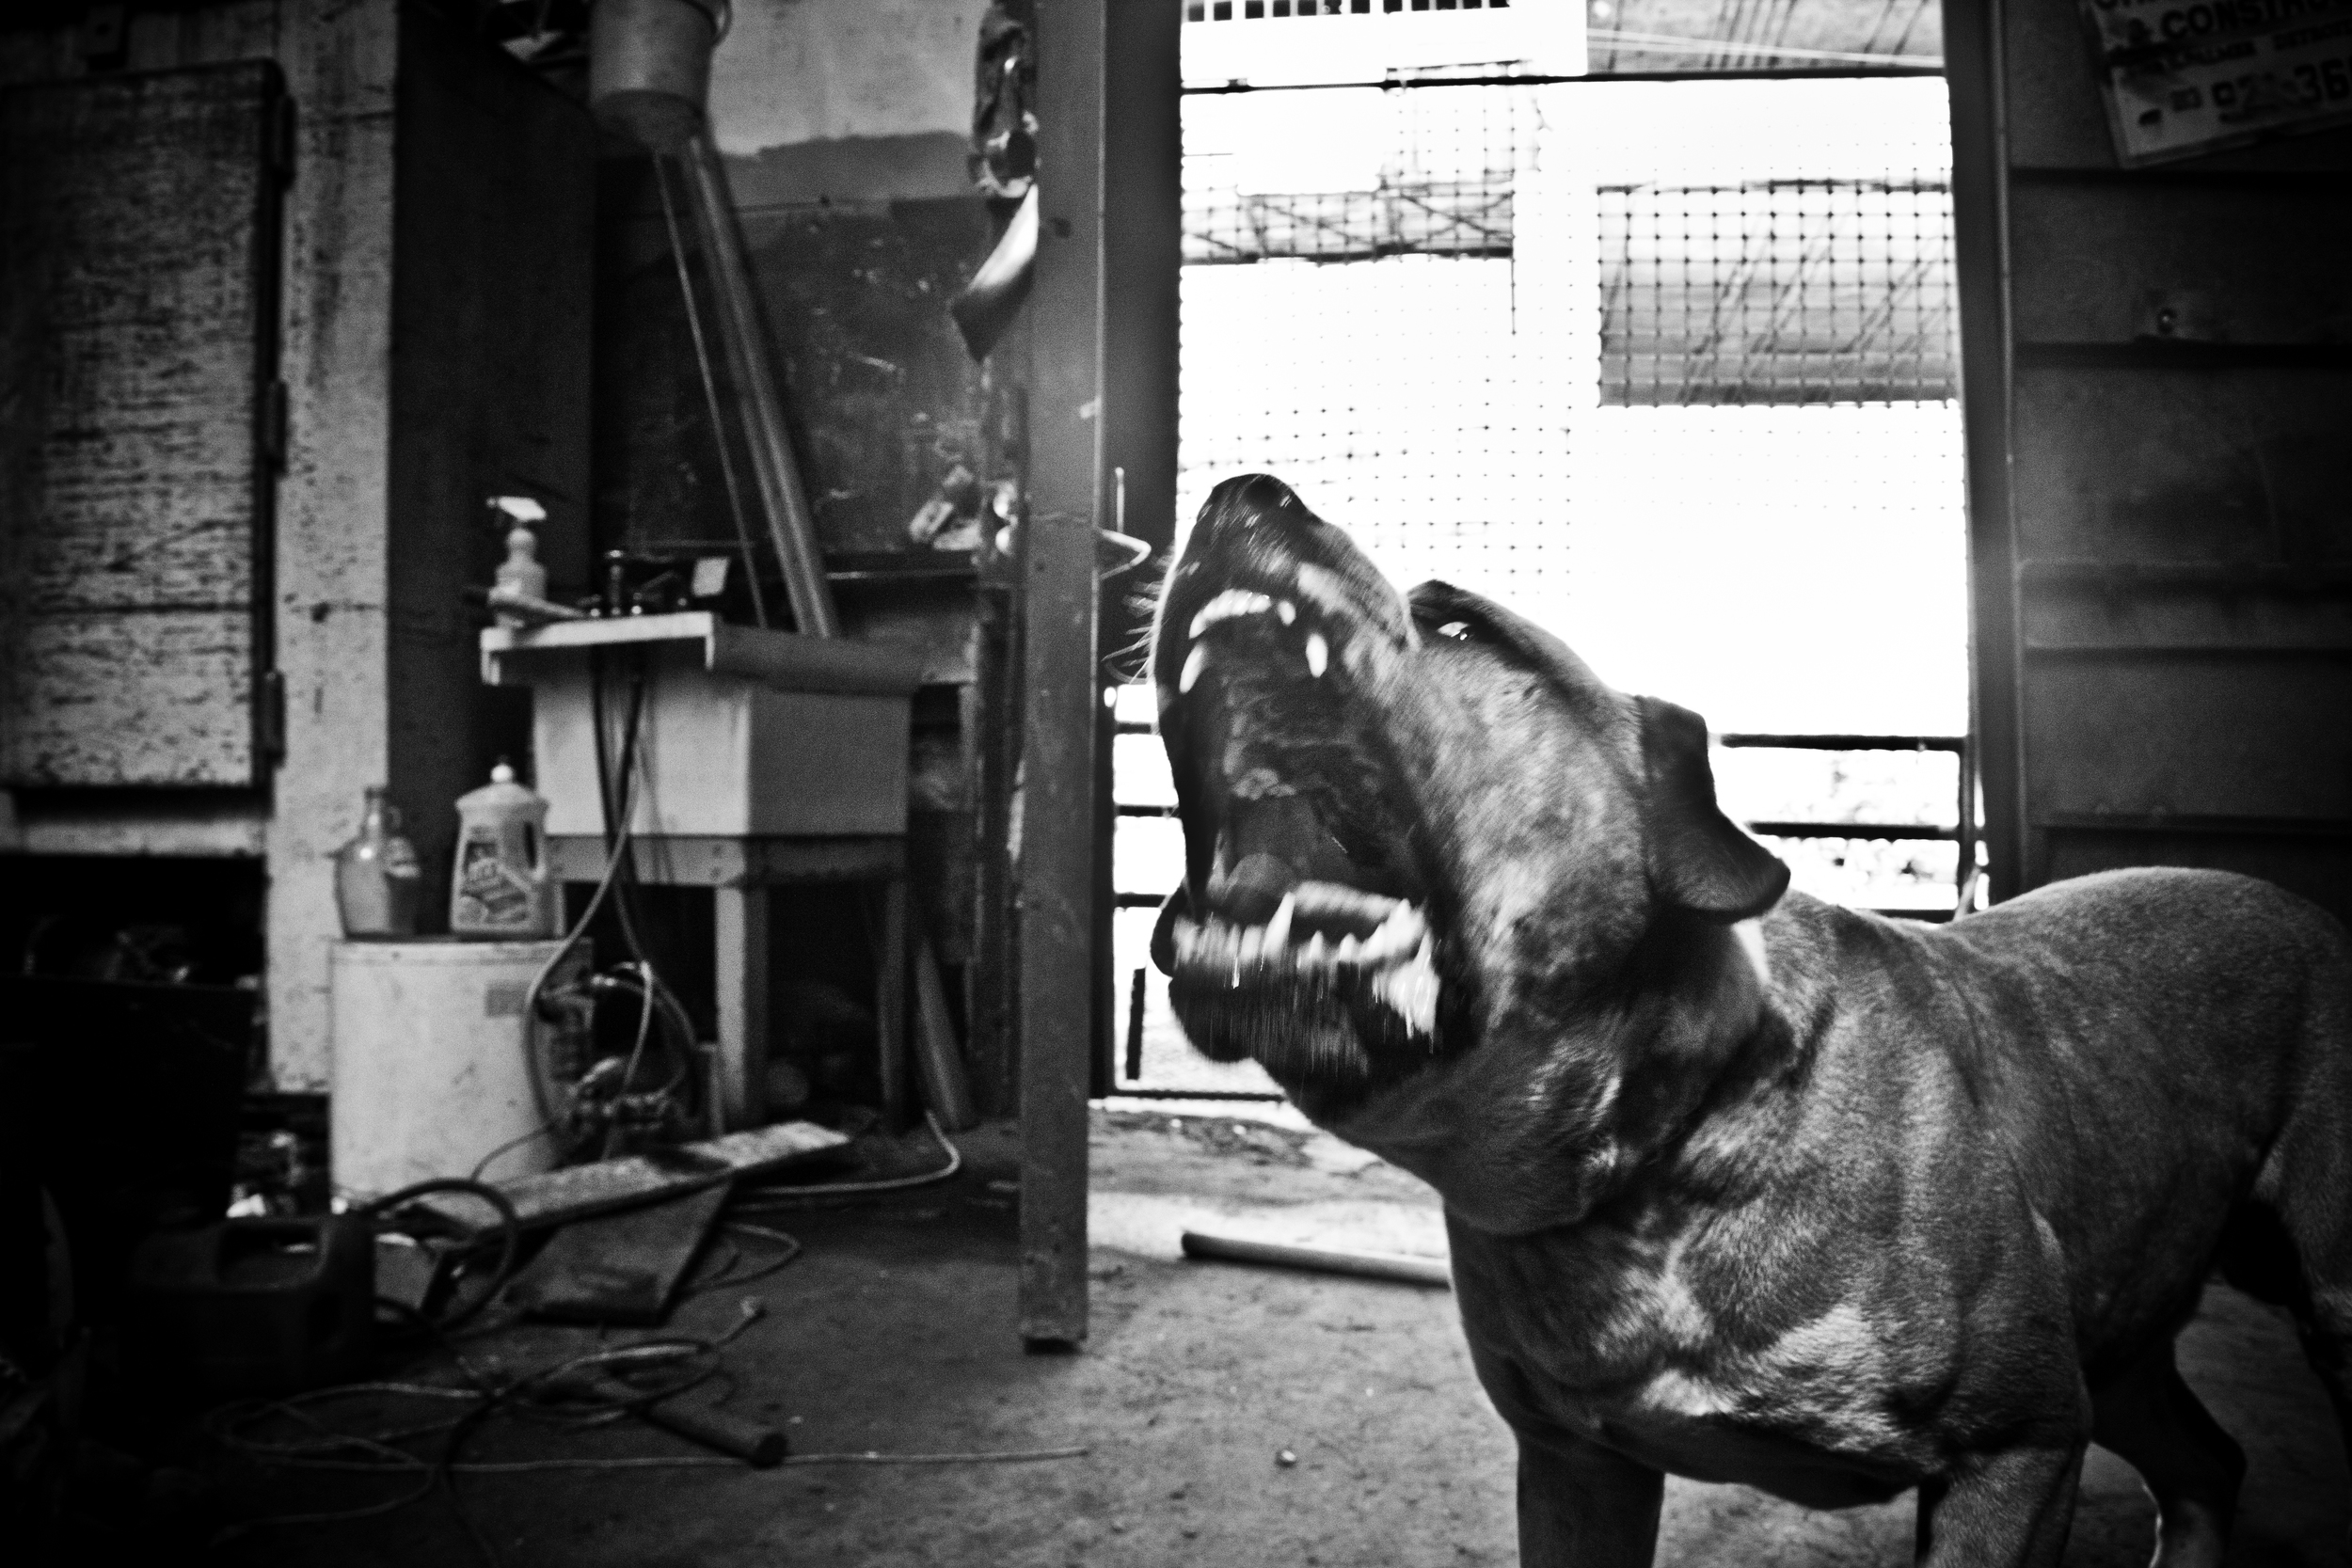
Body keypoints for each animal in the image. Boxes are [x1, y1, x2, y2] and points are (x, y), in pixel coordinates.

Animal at [1143, 472, 2352, 1560]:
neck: (1653, 1151)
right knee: (2205, 1464)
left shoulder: (2016, 1447)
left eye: (1460, 625)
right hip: (2125, 1339)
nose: (1240, 488)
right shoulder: (1577, 1465)